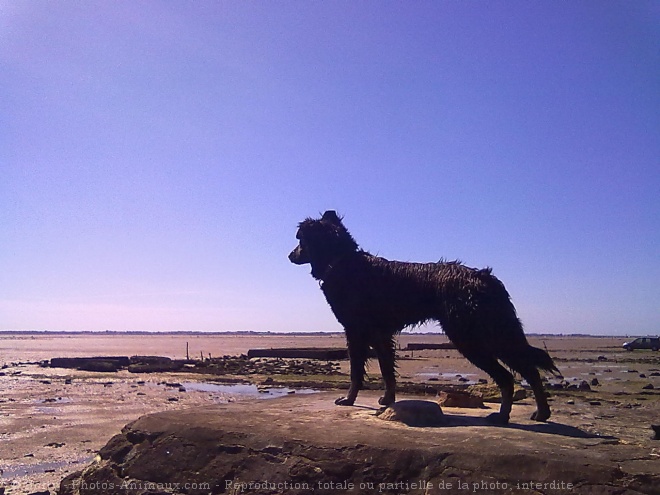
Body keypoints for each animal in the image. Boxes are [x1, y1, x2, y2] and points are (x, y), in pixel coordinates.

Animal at [288, 211, 556, 424]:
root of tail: (485, 278)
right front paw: (388, 400)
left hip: (471, 336)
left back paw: (502, 416)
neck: (342, 262)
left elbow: (356, 371)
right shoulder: (380, 334)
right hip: (492, 333)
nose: (290, 255)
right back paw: (541, 413)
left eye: (301, 240)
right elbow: (387, 370)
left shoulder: (355, 331)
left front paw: (348, 399)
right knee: (529, 369)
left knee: (509, 376)